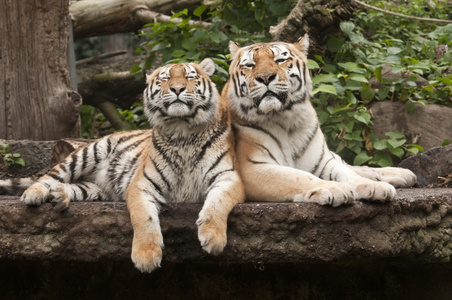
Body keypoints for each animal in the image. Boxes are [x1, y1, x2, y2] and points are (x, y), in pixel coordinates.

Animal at [1, 58, 245, 272]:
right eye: (165, 79)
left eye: (189, 76)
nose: (177, 89)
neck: (182, 130)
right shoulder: (141, 185)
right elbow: (144, 217)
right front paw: (146, 256)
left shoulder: (228, 178)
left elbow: (217, 204)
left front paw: (213, 238)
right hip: (89, 152)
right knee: (49, 176)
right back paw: (35, 194)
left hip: (97, 190)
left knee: (75, 187)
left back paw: (59, 195)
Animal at [222, 35, 416, 207]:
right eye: (250, 65)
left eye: (280, 60)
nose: (265, 77)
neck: (283, 118)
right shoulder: (252, 168)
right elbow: (301, 176)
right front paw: (336, 189)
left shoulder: (322, 160)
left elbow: (347, 173)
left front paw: (374, 186)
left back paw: (403, 174)